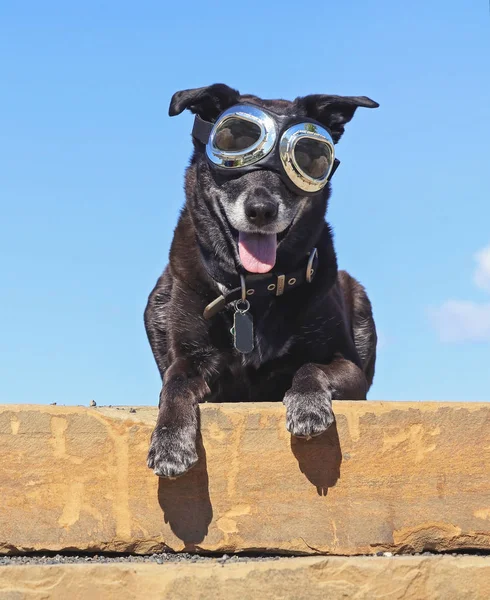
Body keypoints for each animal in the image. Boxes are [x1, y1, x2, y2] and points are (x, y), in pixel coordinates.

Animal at [144, 84, 378, 478]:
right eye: (231, 142)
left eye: (310, 158)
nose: (261, 211)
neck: (253, 290)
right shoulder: (191, 359)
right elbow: (173, 385)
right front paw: (170, 443)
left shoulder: (349, 369)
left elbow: (310, 366)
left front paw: (307, 405)